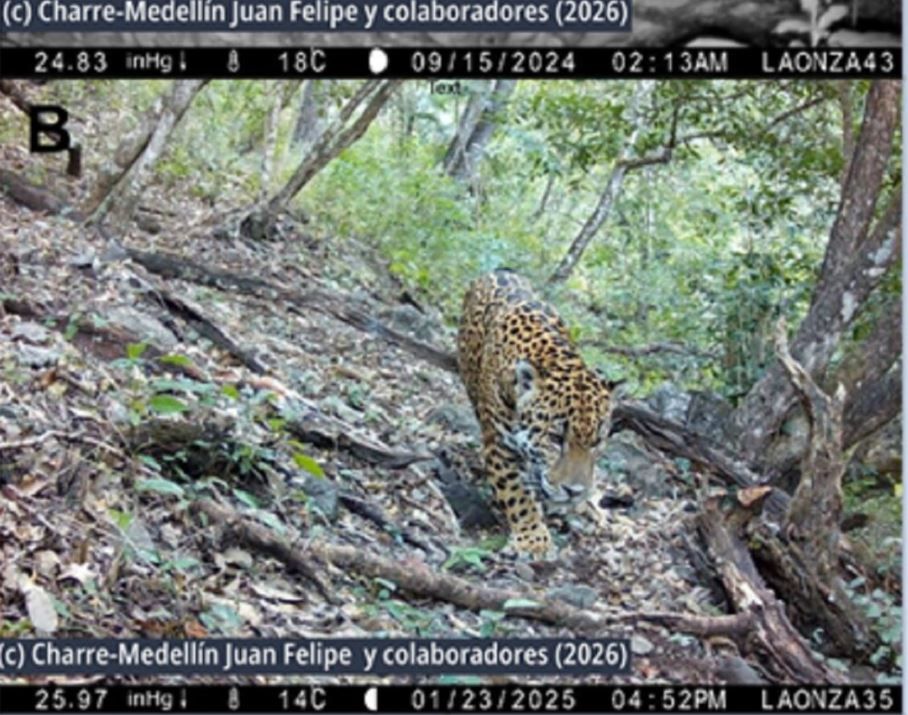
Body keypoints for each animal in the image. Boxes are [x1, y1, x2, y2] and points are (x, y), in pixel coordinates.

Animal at [457, 269, 614, 557]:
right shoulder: (499, 445)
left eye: (597, 442)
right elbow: (516, 494)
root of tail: (500, 270)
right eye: (554, 438)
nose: (574, 491)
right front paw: (533, 540)